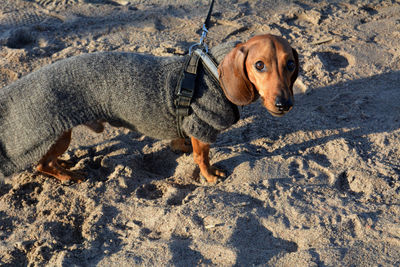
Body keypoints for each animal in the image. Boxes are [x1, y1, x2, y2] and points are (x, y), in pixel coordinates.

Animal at [0, 34, 298, 184]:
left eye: (291, 64)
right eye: (259, 65)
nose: (284, 104)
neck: (213, 71)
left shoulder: (191, 128)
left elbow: (185, 144)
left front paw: (181, 147)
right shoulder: (202, 128)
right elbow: (202, 158)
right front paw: (210, 176)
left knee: (45, 161)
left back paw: (64, 165)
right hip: (60, 134)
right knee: (41, 164)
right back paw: (67, 175)